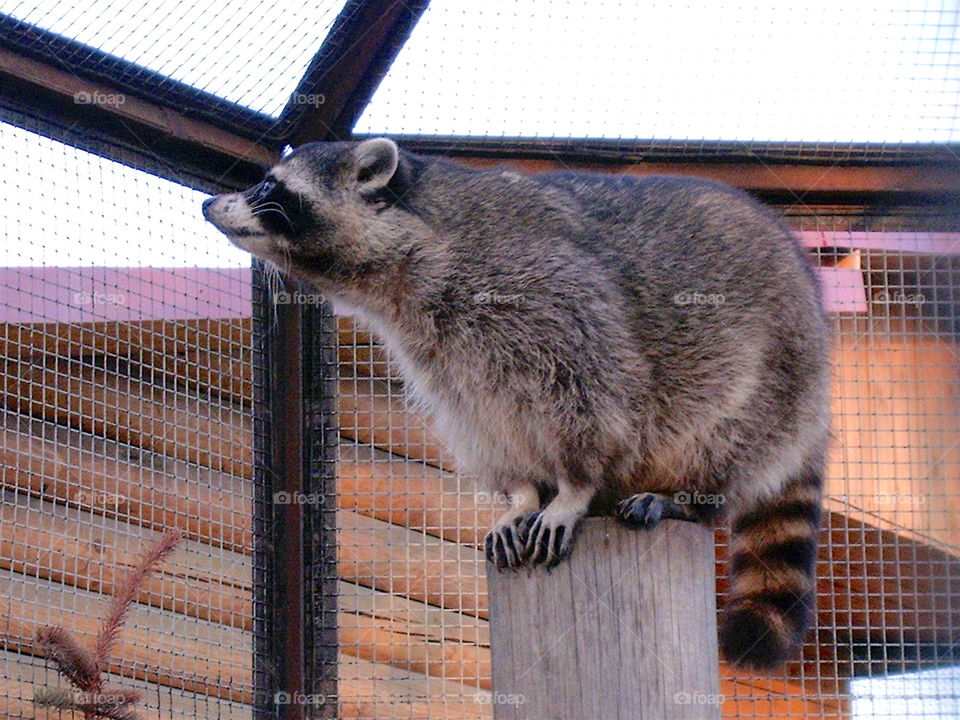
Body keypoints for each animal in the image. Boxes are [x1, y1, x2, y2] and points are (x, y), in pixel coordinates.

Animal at [202, 137, 830, 670]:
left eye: (270, 186)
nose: (209, 203)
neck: (400, 268)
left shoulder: (543, 290)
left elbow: (594, 393)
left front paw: (572, 489)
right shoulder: (441, 355)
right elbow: (485, 423)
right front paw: (523, 492)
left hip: (774, 373)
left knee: (724, 428)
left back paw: (689, 497)